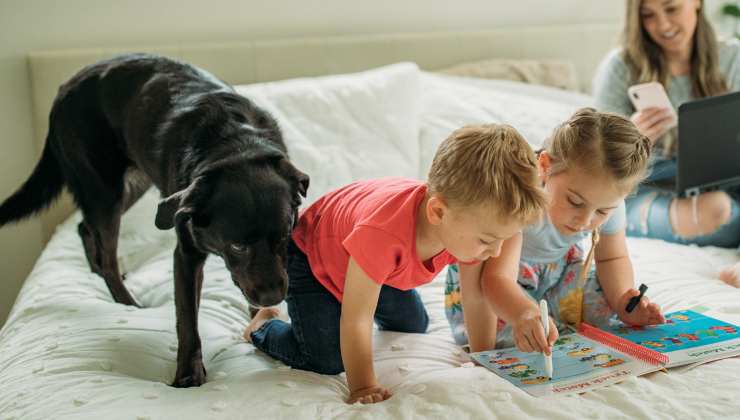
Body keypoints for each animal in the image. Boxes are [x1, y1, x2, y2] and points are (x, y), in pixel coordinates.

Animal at [0, 54, 308, 388]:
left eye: (285, 235)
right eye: (238, 246)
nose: (274, 296)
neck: (236, 146)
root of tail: (65, 87)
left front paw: (258, 318)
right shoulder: (185, 254)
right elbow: (187, 320)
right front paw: (188, 375)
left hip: (132, 183)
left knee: (85, 228)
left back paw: (98, 273)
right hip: (105, 190)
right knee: (106, 250)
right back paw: (125, 301)